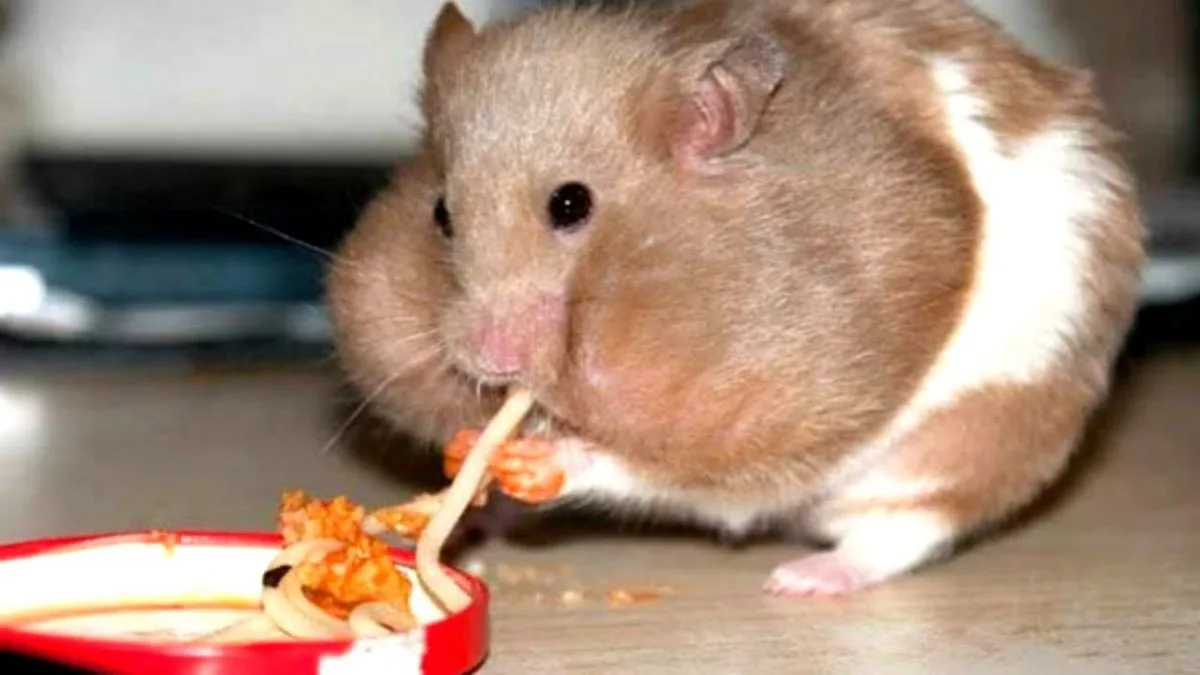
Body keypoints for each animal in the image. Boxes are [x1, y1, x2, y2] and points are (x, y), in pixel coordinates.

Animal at [327, 0, 1145, 597]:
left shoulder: (770, 418)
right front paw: (470, 447)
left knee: (900, 530)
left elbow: (654, 468)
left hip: (971, 439)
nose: (489, 363)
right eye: (441, 213)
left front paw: (533, 460)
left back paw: (801, 580)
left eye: (570, 204)